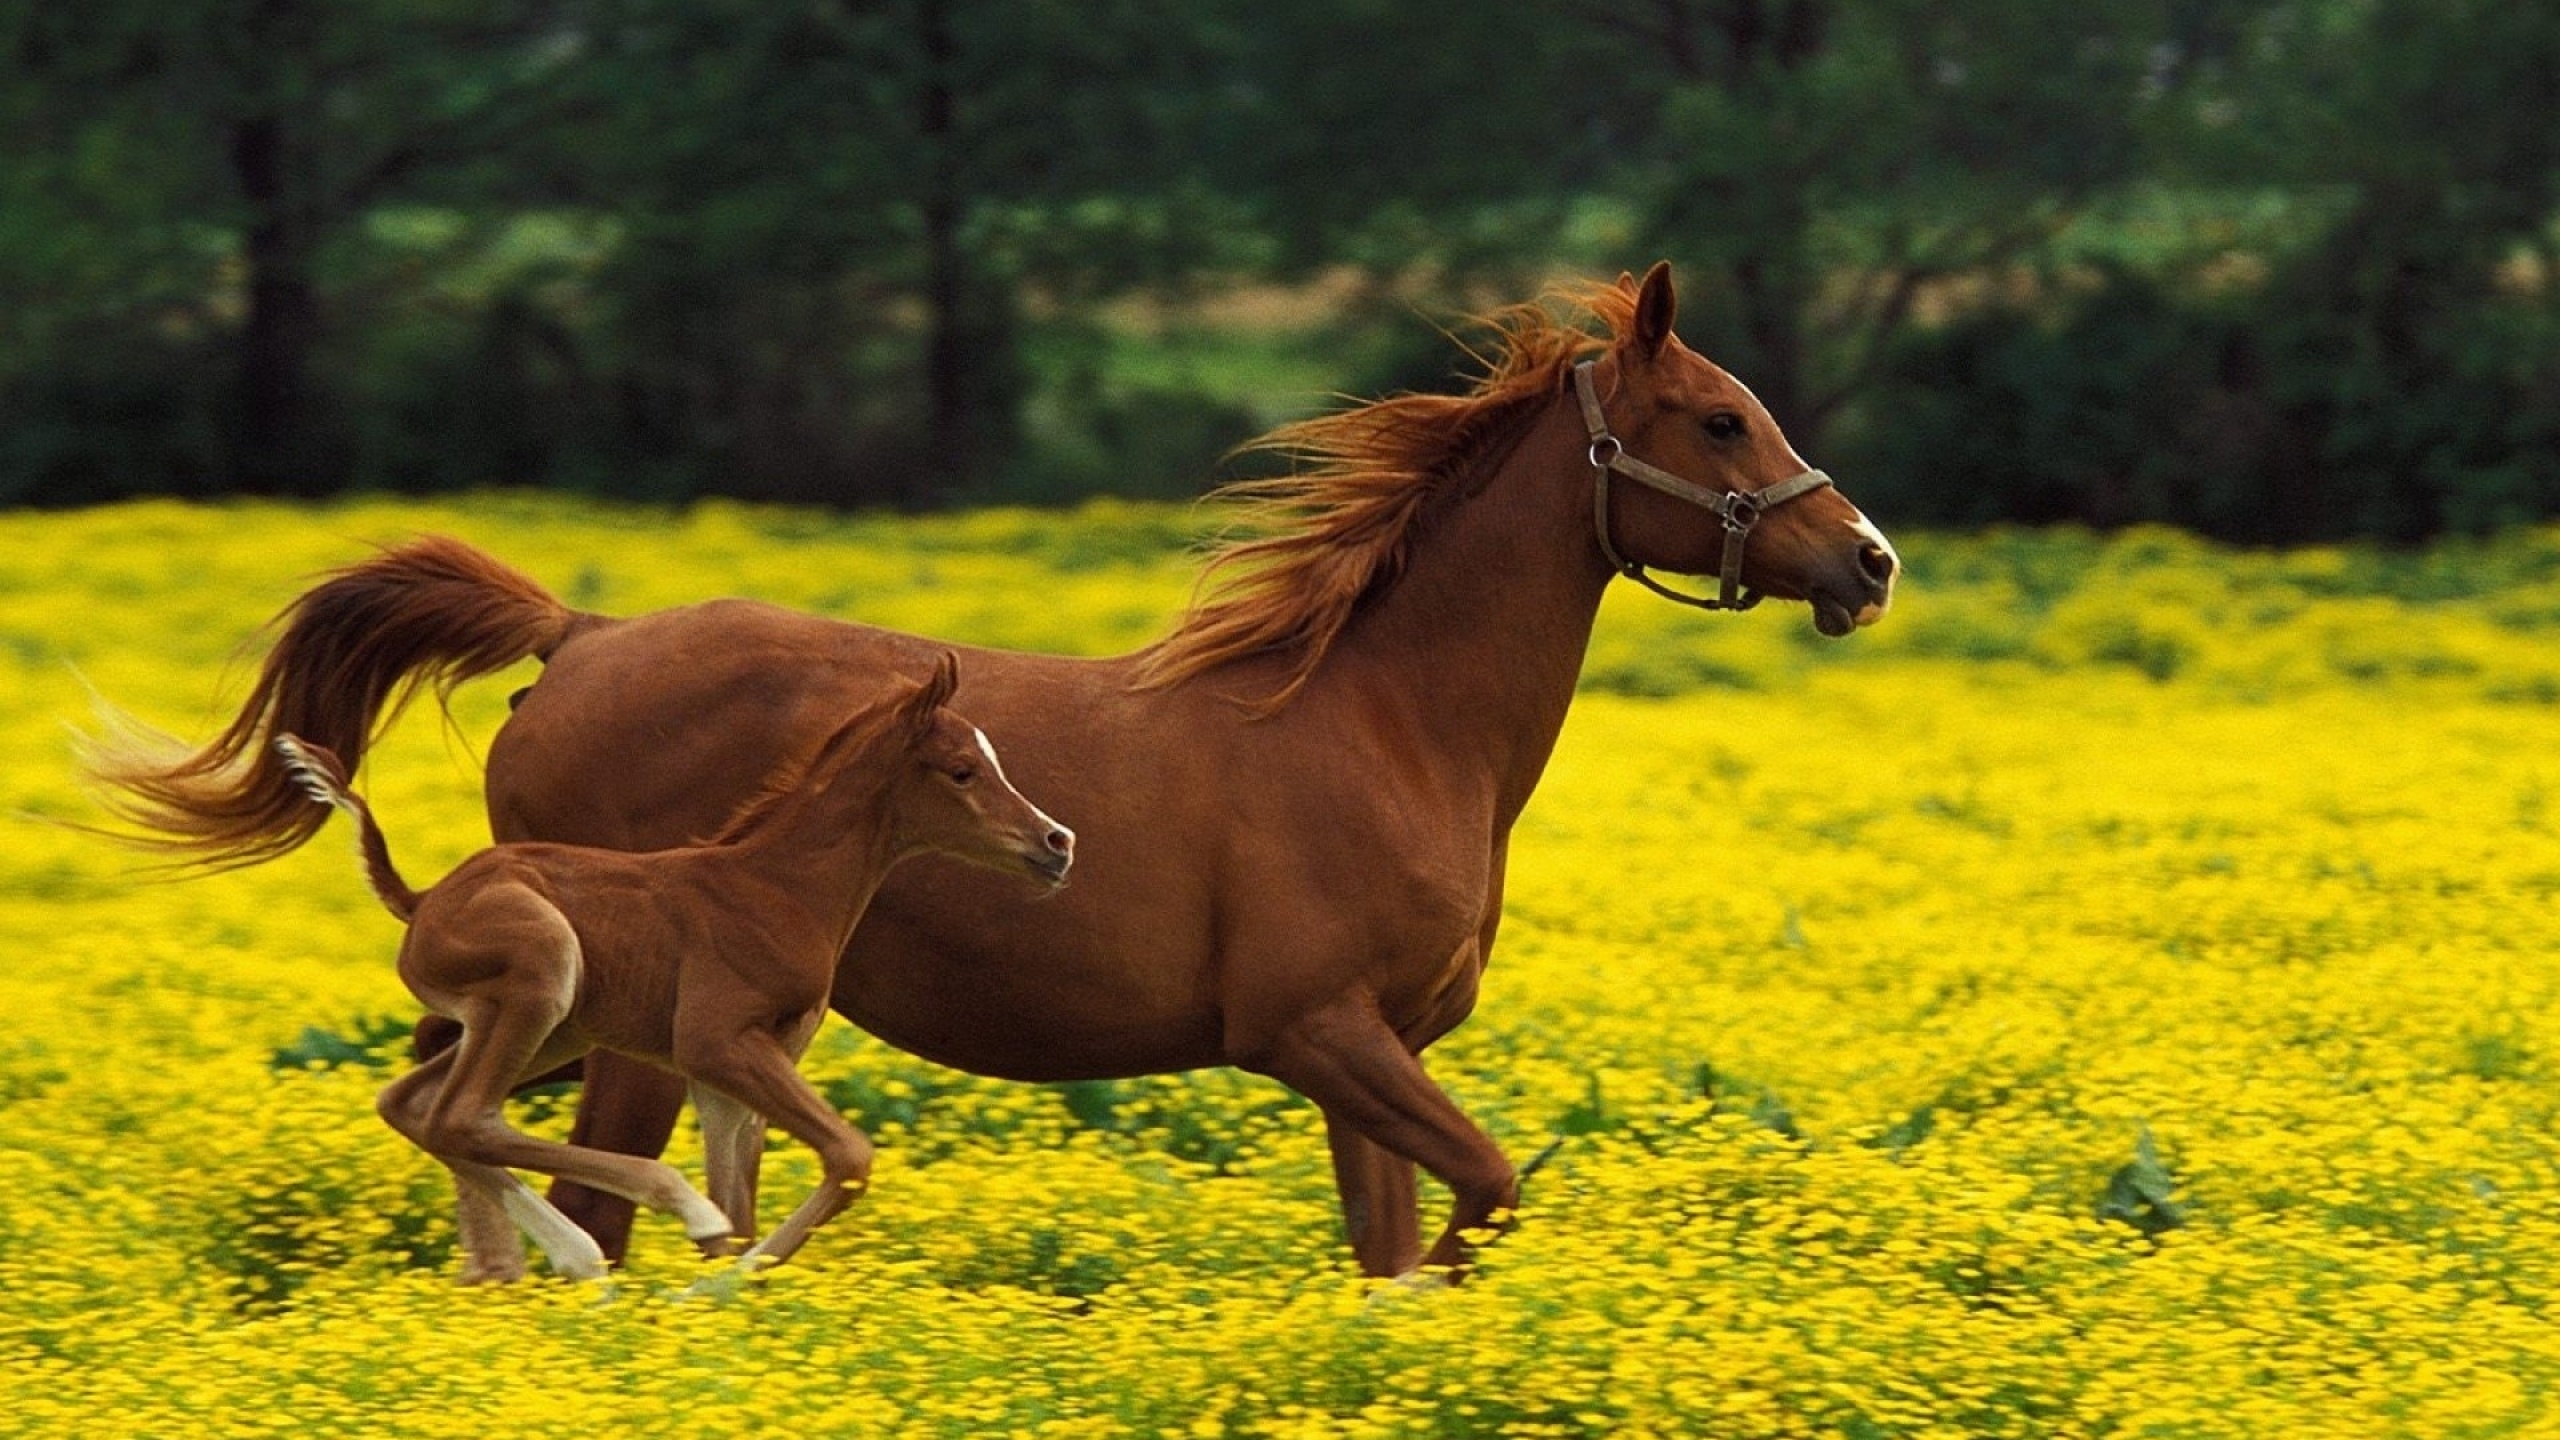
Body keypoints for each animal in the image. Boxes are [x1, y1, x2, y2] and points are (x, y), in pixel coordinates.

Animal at [275, 653, 1075, 1276]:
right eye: (963, 771)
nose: (1056, 842)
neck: (778, 888)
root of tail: (421, 900)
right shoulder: (714, 1042)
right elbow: (846, 1158)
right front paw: (714, 1284)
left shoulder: (735, 1067)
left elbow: (745, 1204)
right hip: (542, 971)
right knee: (463, 1115)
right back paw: (641, 1224)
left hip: (554, 1027)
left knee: (414, 1105)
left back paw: (572, 1258)